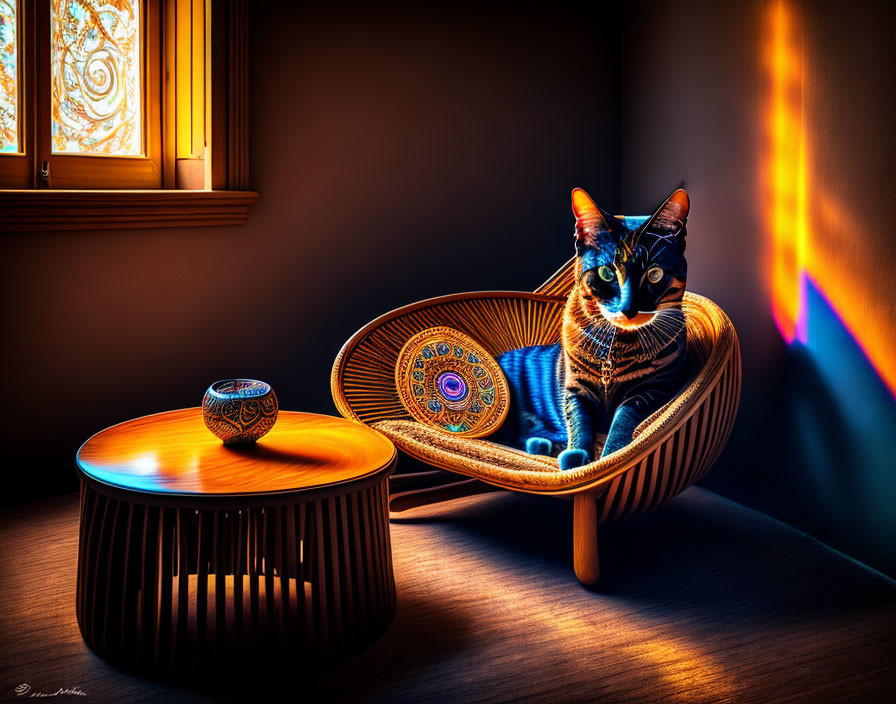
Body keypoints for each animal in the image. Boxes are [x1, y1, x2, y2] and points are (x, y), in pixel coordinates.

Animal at [490, 188, 692, 468]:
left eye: (654, 274)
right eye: (607, 272)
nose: (629, 308)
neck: (616, 348)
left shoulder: (653, 389)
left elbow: (624, 418)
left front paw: (611, 453)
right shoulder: (576, 387)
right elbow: (579, 422)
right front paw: (577, 456)